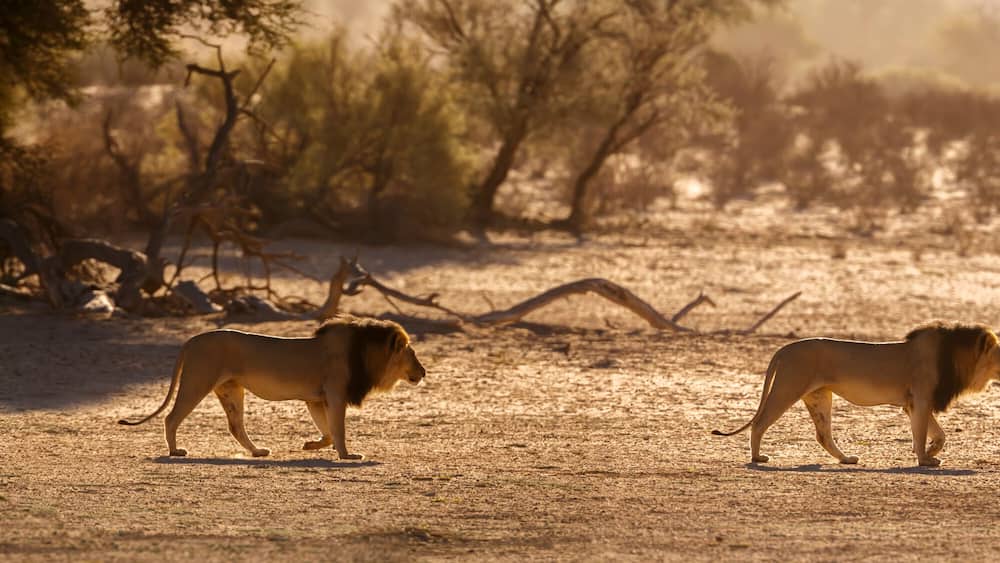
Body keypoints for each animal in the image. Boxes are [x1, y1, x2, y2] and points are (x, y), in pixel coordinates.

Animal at [118, 316, 425, 460]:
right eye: (412, 353)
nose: (424, 372)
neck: (364, 352)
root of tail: (191, 340)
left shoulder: (317, 399)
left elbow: (327, 431)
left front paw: (311, 445)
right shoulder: (336, 394)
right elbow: (338, 430)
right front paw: (348, 455)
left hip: (231, 389)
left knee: (235, 426)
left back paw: (257, 452)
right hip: (198, 381)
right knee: (171, 417)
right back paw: (175, 451)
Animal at [712, 322, 1000, 467]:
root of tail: (783, 349)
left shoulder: (914, 403)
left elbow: (939, 434)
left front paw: (931, 451)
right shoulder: (920, 399)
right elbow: (920, 433)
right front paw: (923, 459)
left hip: (819, 396)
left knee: (823, 435)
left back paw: (846, 459)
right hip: (787, 388)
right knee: (760, 423)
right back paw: (757, 457)